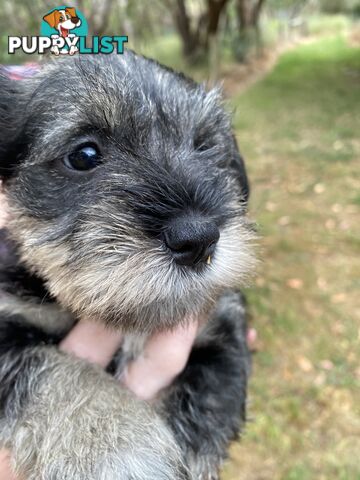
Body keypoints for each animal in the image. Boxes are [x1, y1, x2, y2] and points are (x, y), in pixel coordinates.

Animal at [0, 50, 253, 478]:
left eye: (204, 147)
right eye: (84, 154)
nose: (198, 239)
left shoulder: (222, 330)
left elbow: (207, 404)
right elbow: (61, 375)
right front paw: (117, 448)